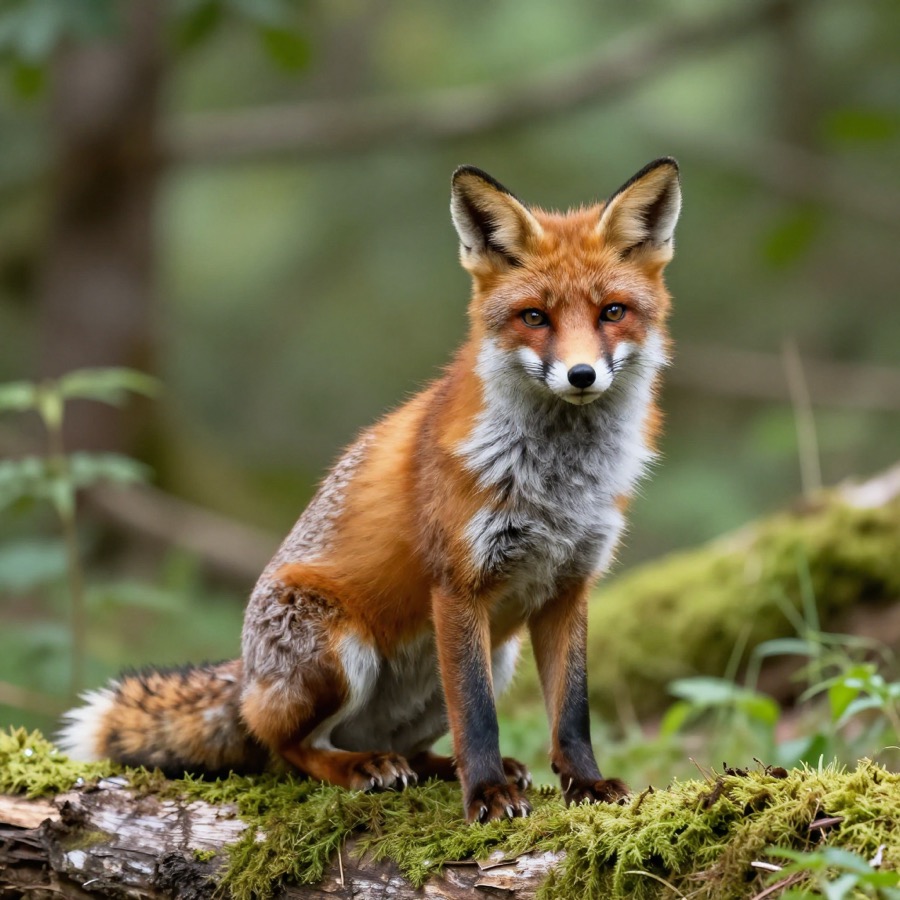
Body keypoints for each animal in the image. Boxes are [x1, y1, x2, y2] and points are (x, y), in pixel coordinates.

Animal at [59, 158, 682, 823]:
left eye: (612, 312)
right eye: (534, 317)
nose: (581, 375)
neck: (560, 483)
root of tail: (247, 675)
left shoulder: (568, 587)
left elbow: (571, 712)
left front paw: (586, 785)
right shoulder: (458, 584)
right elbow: (479, 718)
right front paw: (487, 797)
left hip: (493, 656)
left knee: (410, 747)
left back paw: (433, 768)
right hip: (339, 653)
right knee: (288, 750)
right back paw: (363, 768)